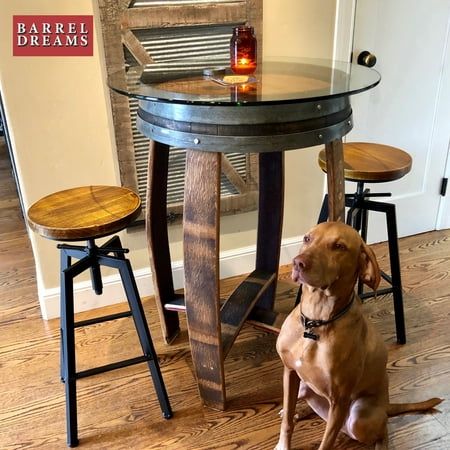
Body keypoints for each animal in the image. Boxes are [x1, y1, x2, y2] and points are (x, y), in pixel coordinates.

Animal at [274, 222, 442, 450]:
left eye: (339, 246)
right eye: (307, 239)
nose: (298, 263)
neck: (316, 322)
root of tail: (387, 405)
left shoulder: (340, 400)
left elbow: (326, 443)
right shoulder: (290, 372)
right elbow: (286, 422)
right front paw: (284, 441)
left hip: (358, 417)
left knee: (382, 431)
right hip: (304, 386)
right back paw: (299, 411)